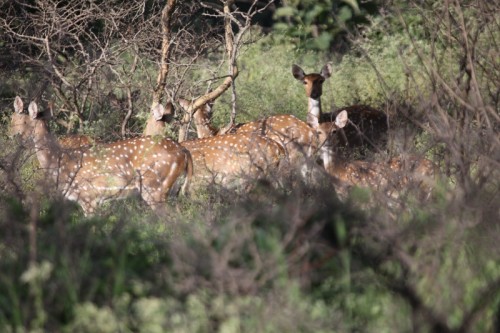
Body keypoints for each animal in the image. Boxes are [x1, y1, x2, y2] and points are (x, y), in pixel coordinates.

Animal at [10, 96, 193, 215]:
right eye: (13, 119)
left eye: (22, 121)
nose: (12, 136)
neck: (59, 162)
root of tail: (183, 152)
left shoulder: (88, 197)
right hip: (173, 190)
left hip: (154, 187)